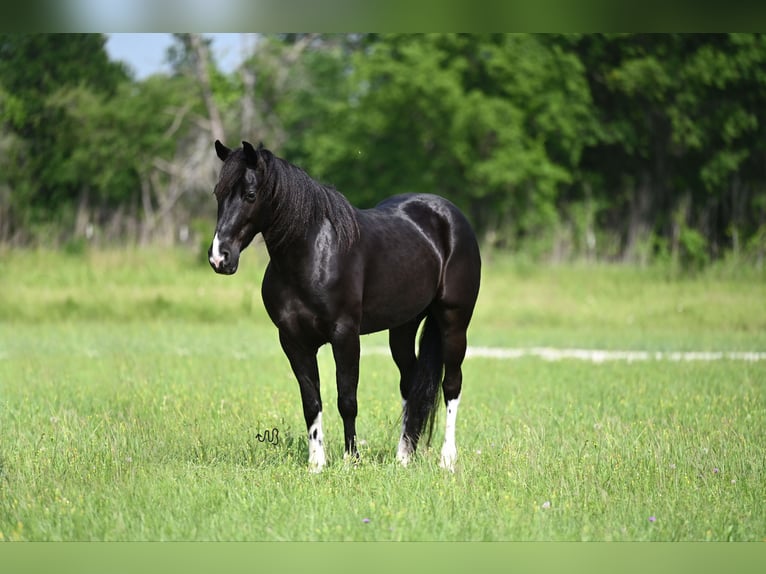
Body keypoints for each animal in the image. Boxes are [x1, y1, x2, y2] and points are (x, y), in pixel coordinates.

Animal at [208, 142, 480, 474]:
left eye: (249, 194)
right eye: (218, 194)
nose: (219, 257)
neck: (311, 256)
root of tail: (450, 215)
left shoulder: (345, 335)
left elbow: (347, 400)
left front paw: (352, 459)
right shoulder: (293, 341)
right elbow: (311, 402)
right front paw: (316, 464)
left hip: (454, 322)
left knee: (451, 385)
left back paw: (447, 459)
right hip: (403, 327)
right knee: (411, 384)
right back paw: (403, 457)